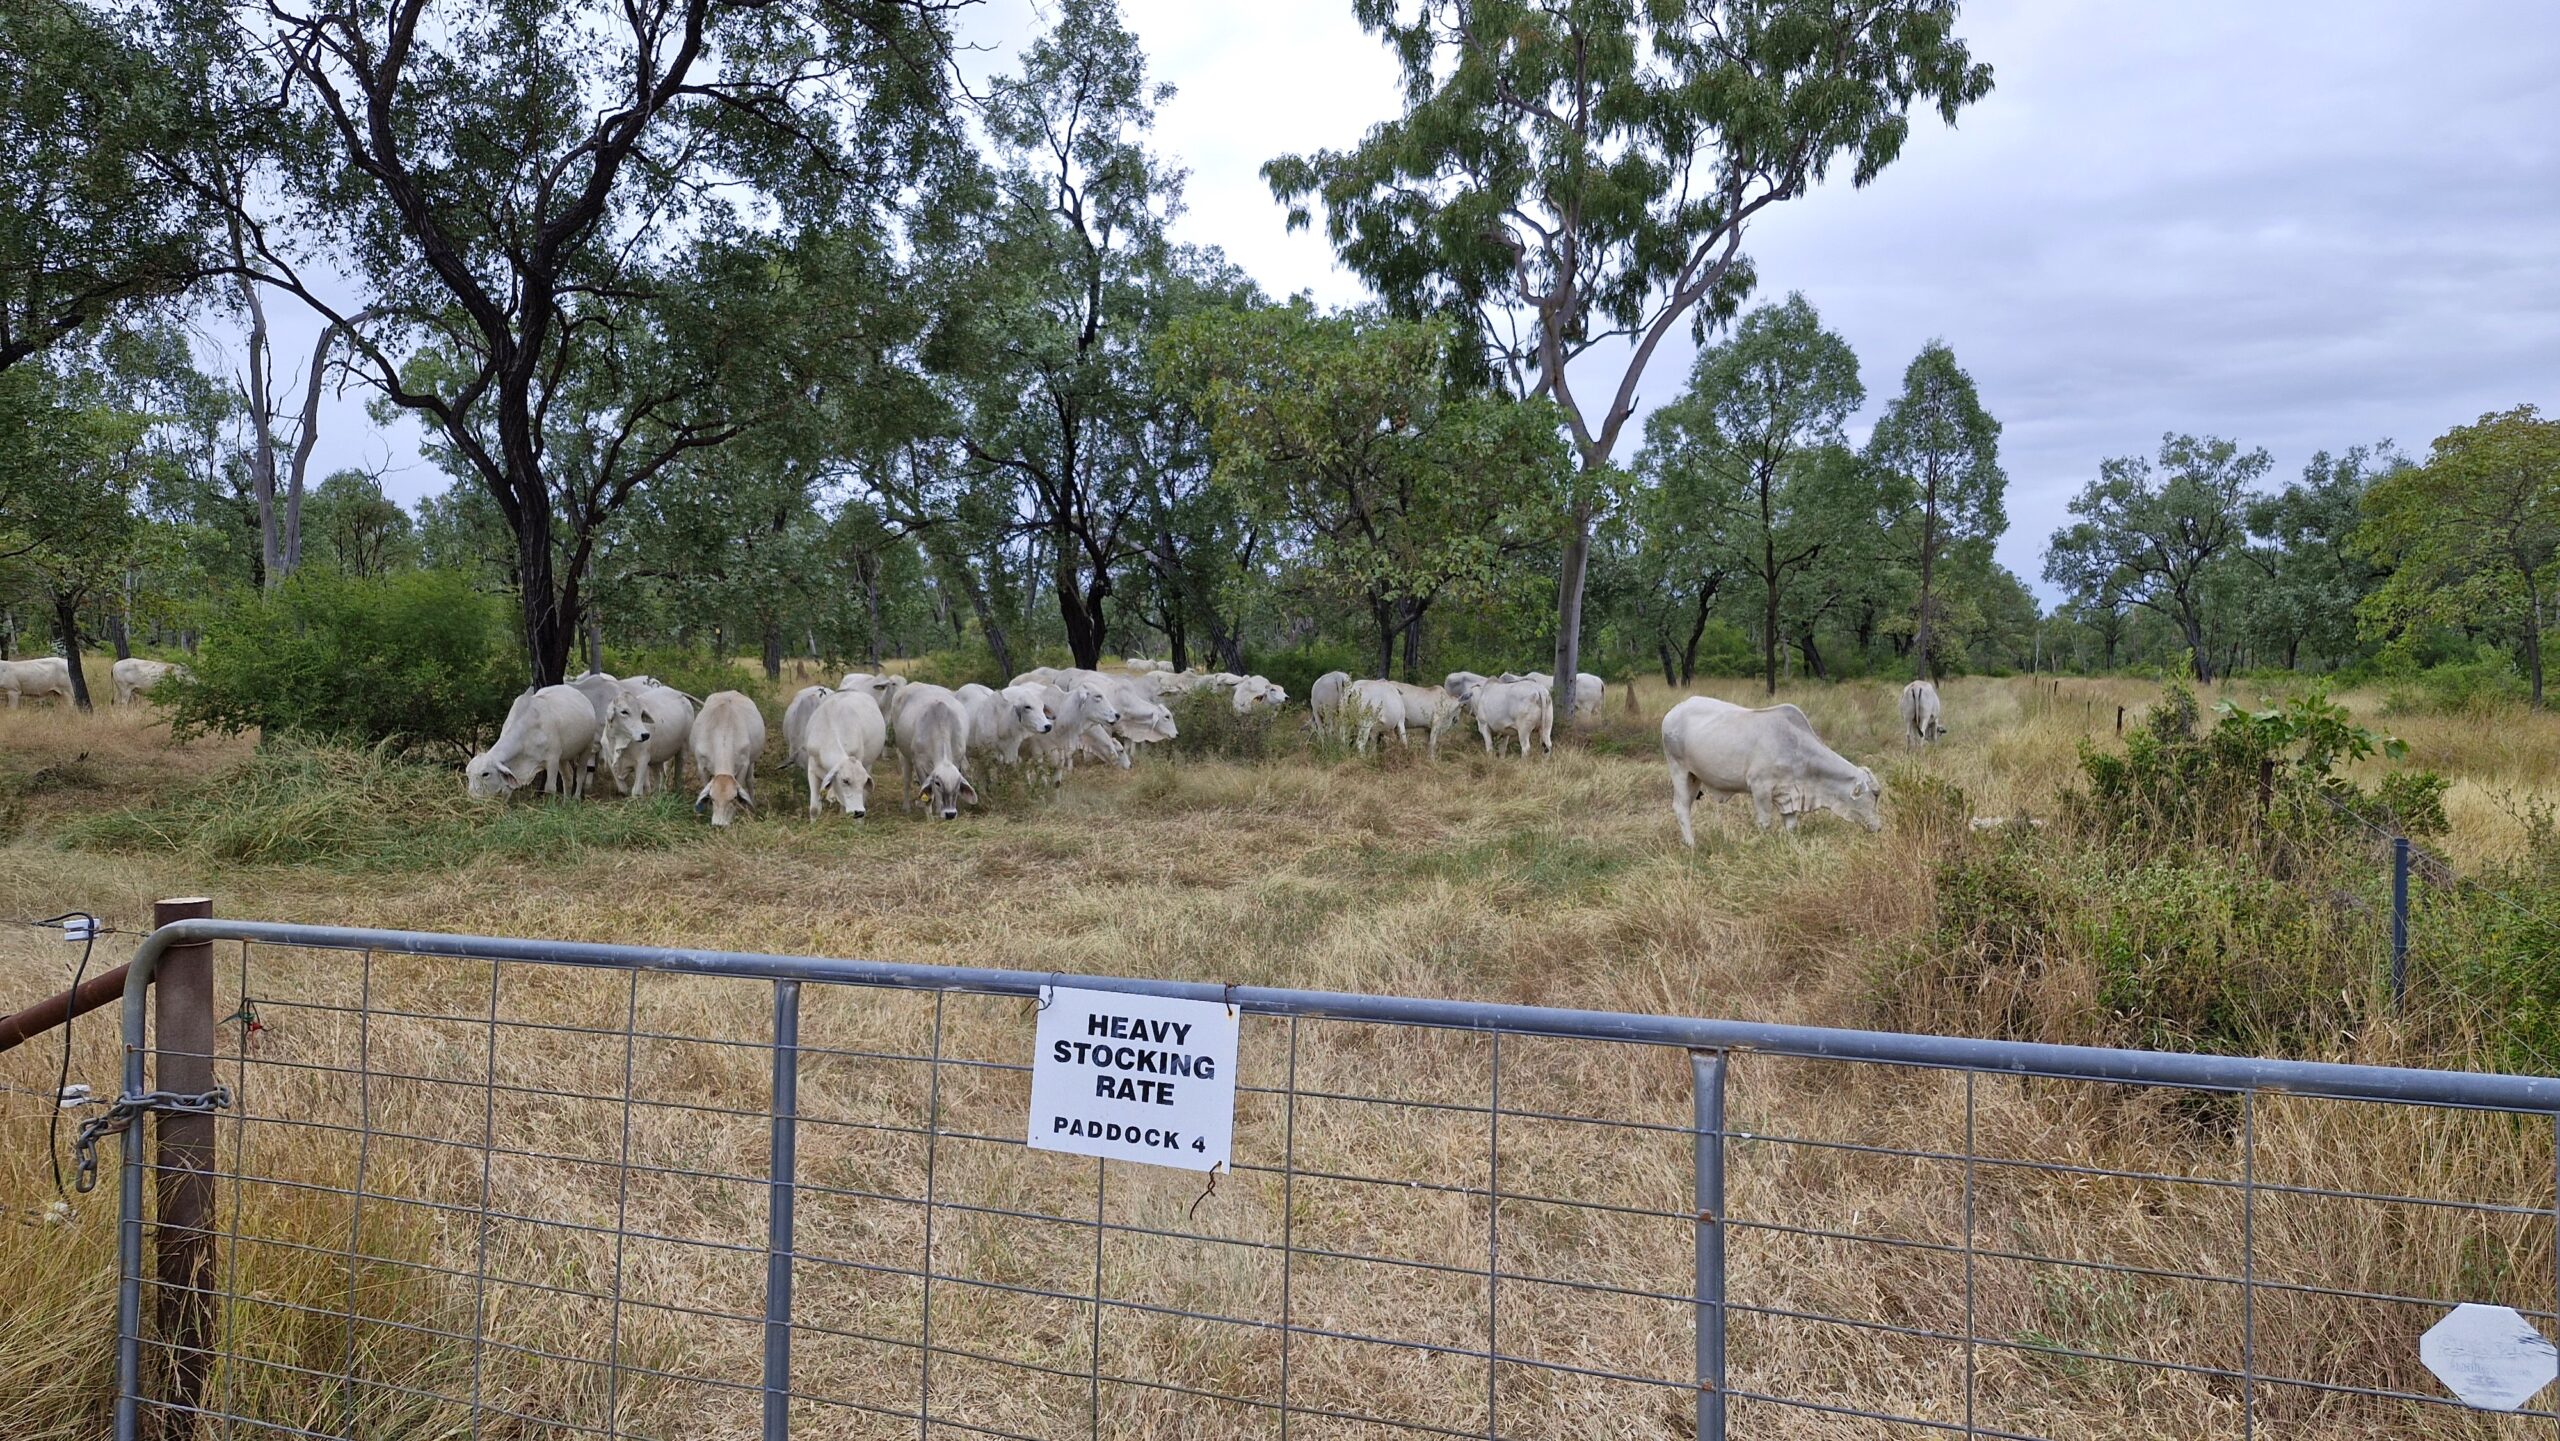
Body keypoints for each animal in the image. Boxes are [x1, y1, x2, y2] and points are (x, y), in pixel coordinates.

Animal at [463, 685, 596, 798]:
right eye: (468, 775)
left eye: (485, 774)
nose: (473, 796)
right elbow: (506, 791)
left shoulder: (552, 759)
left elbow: (550, 788)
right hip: (563, 757)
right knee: (568, 777)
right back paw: (566, 802)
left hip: (587, 748)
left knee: (580, 775)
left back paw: (576, 799)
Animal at [686, 691, 762, 829]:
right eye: (712, 798)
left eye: (732, 799)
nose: (719, 825)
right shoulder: (701, 765)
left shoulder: (744, 764)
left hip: (752, 761)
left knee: (750, 780)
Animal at [798, 685, 890, 819]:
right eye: (845, 780)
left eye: (864, 781)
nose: (859, 812)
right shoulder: (812, 769)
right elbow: (814, 809)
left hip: (868, 764)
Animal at [901, 680, 977, 819]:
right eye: (938, 783)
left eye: (958, 784)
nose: (950, 814)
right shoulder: (919, 764)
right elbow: (928, 793)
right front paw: (929, 816)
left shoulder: (957, 760)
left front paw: (938, 810)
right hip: (903, 754)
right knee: (906, 779)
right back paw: (906, 806)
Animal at [1658, 701, 1884, 844]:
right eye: (1874, 794)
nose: (1879, 827)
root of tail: (1672, 712)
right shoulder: (1760, 787)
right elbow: (1765, 822)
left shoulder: (1789, 795)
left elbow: (1792, 825)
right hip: (1678, 769)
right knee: (1681, 807)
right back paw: (1691, 845)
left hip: (1694, 776)